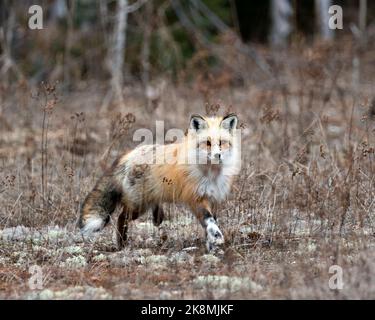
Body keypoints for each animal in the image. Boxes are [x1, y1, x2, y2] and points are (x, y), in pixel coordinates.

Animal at [78, 114, 241, 251]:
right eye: (207, 143)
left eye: (222, 143)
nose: (217, 155)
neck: (212, 174)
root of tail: (130, 154)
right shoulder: (196, 198)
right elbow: (209, 220)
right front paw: (216, 238)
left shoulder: (213, 198)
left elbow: (209, 225)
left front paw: (211, 247)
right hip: (138, 205)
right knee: (121, 218)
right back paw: (122, 245)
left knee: (151, 213)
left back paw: (156, 217)